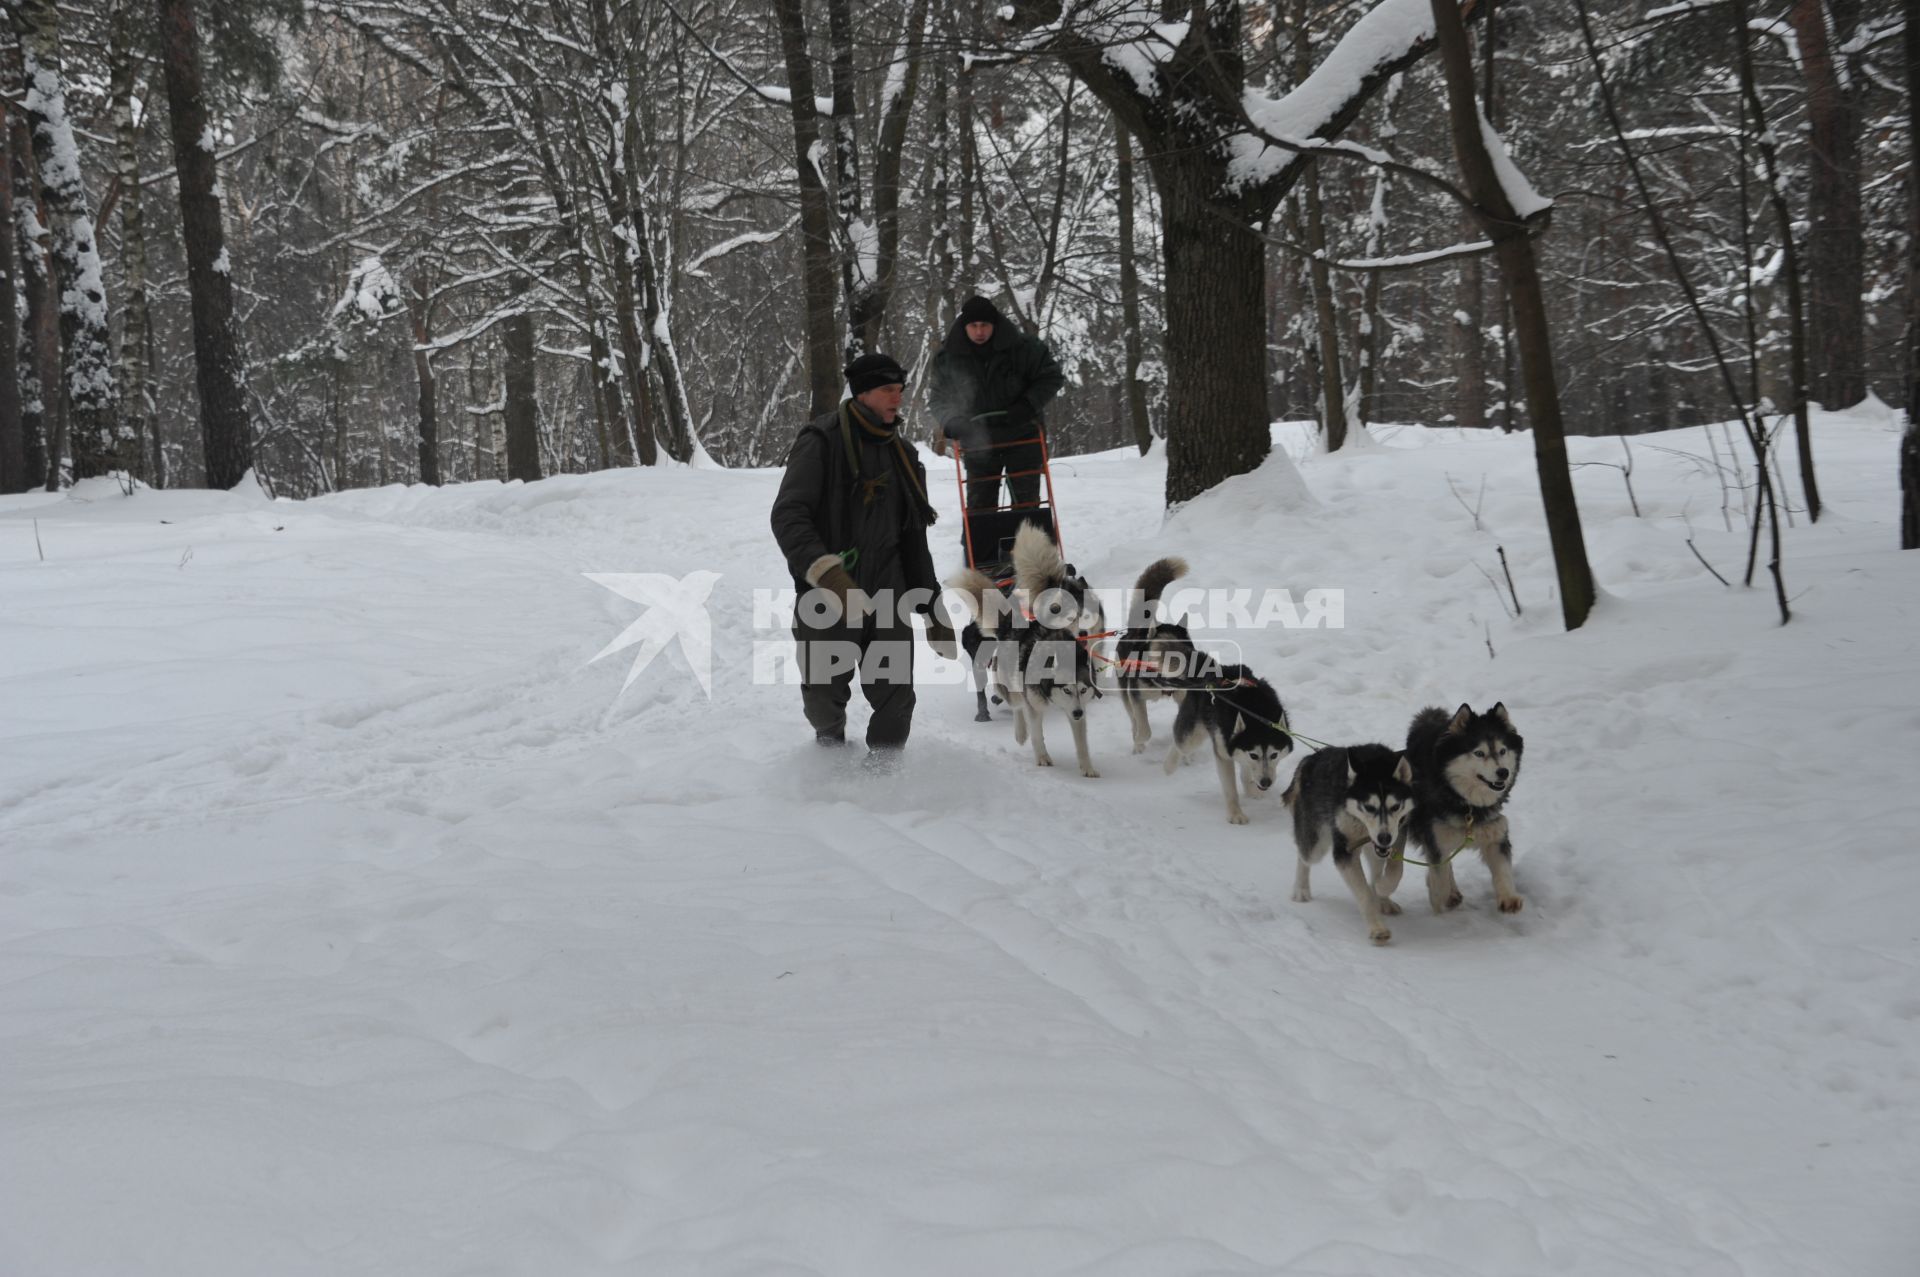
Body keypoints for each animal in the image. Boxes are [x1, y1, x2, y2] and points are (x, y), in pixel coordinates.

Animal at [948, 522, 1113, 775]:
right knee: (1015, 705)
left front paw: (1087, 768)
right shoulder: (1034, 706)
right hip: (1009, 683)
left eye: (1082, 690)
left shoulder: (1077, 710)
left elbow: (1082, 743)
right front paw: (1042, 756)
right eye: (1066, 690)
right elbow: (1036, 734)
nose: (1078, 712)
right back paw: (1019, 731)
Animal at [1113, 553, 1198, 752]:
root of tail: (1138, 629)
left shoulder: (1183, 695)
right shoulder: (1136, 695)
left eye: (1188, 650)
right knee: (1133, 719)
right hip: (1125, 689)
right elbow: (1144, 730)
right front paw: (1139, 741)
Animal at [1159, 660, 1297, 821]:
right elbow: (1230, 789)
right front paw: (1236, 814)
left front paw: (1251, 790)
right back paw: (1169, 766)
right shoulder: (1224, 753)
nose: (1265, 782)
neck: (1255, 713)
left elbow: (1246, 770)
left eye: (1274, 755)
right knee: (1180, 743)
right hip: (1192, 735)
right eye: (1254, 755)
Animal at [1282, 741, 1420, 940]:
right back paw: (1301, 889)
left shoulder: (1398, 834)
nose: (1384, 837)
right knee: (1304, 856)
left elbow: (1395, 870)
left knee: (1377, 867)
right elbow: (1364, 893)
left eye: (1395, 807)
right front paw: (1377, 927)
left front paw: (1382, 888)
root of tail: (1311, 759)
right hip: (1316, 844)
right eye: (1369, 807)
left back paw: (1382, 898)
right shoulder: (1344, 851)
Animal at [1405, 702, 1520, 910]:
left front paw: (1509, 897)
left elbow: (1503, 869)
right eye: (1479, 753)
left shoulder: (1495, 831)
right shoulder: (1434, 838)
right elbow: (1439, 878)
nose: (1503, 772)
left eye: (1502, 751)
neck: (1466, 805)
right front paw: (1438, 899)